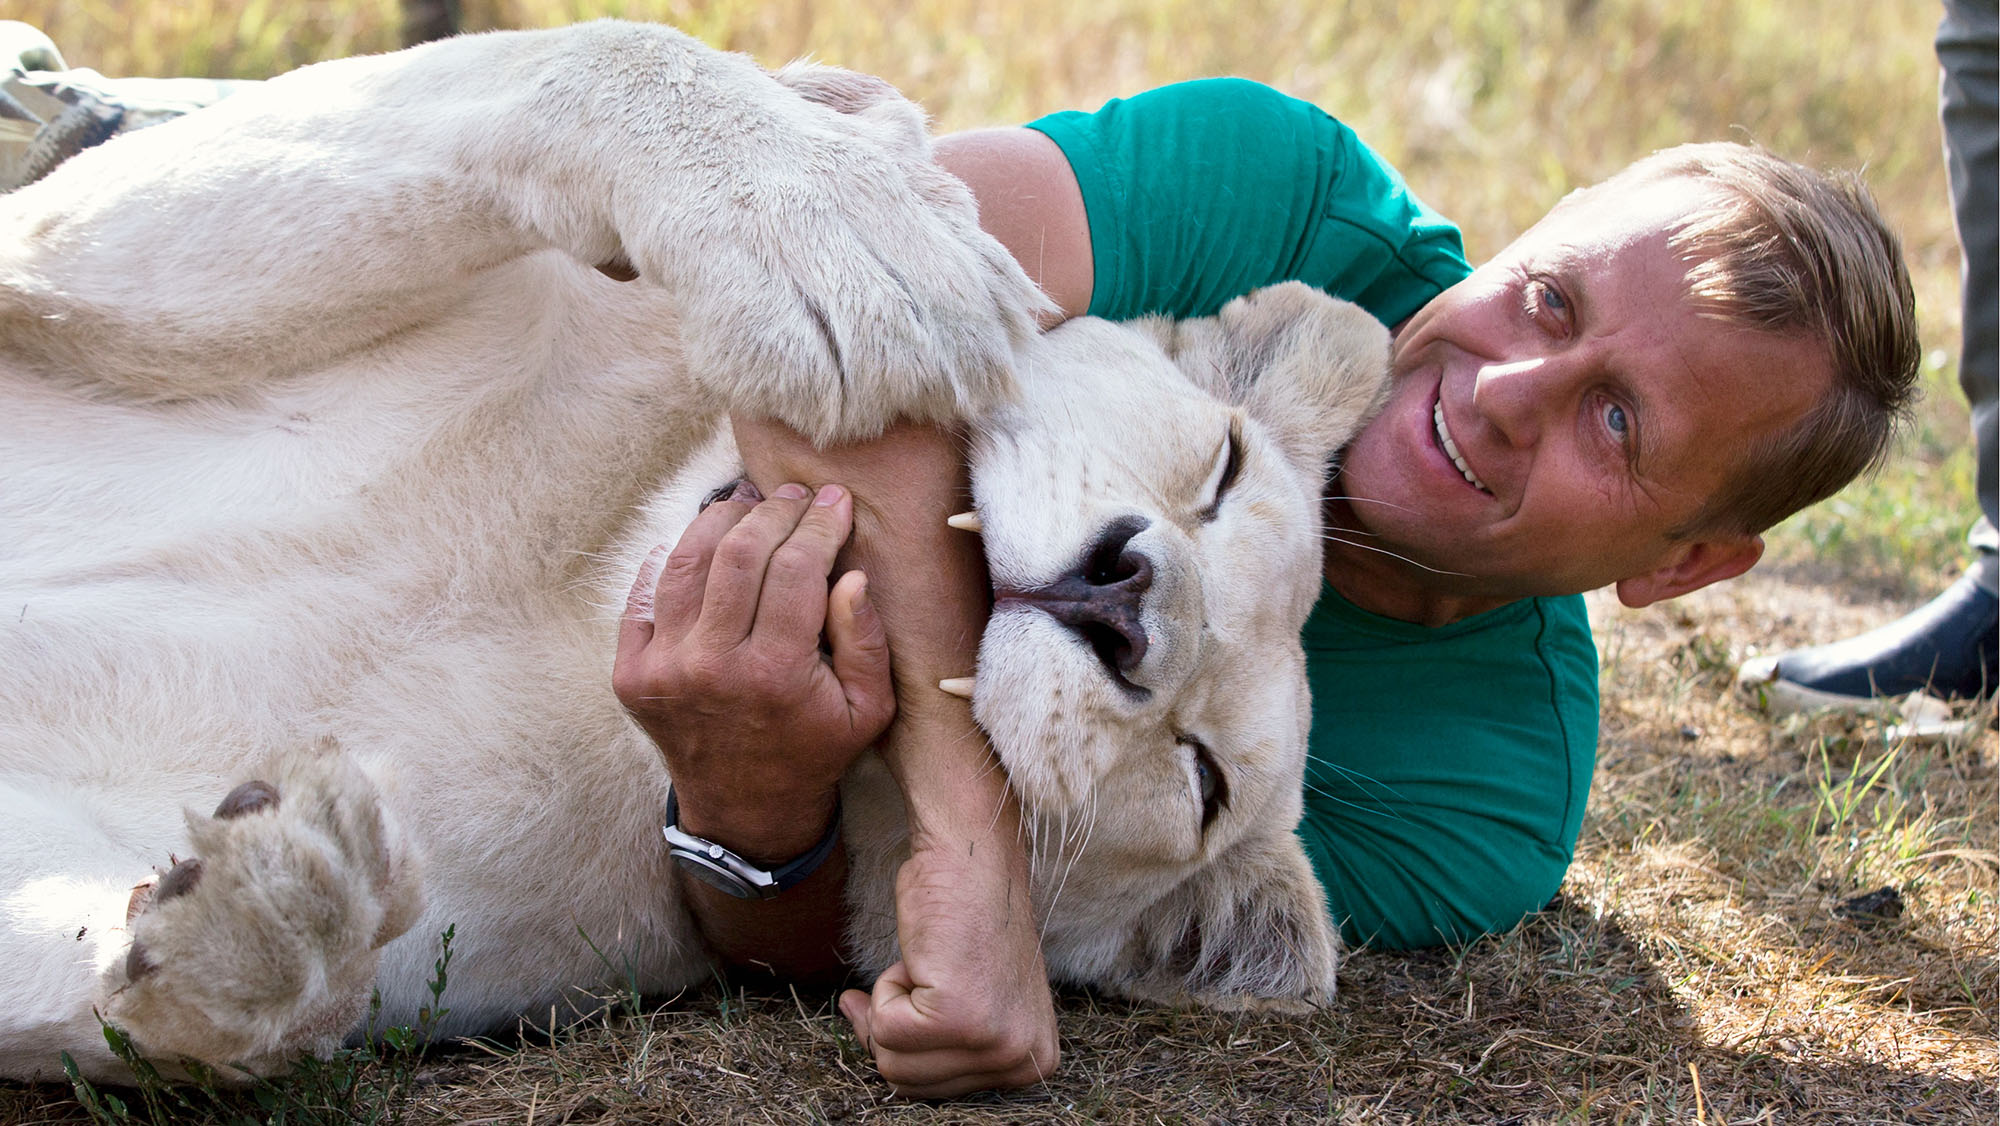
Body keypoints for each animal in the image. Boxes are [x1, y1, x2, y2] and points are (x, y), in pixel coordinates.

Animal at [0, 24, 1384, 1080]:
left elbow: (219, 1000)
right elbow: (590, 52)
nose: (1129, 602)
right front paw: (843, 225)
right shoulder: (90, 258)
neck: (559, 574)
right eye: (1218, 473)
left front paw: (264, 914)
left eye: (1198, 777)